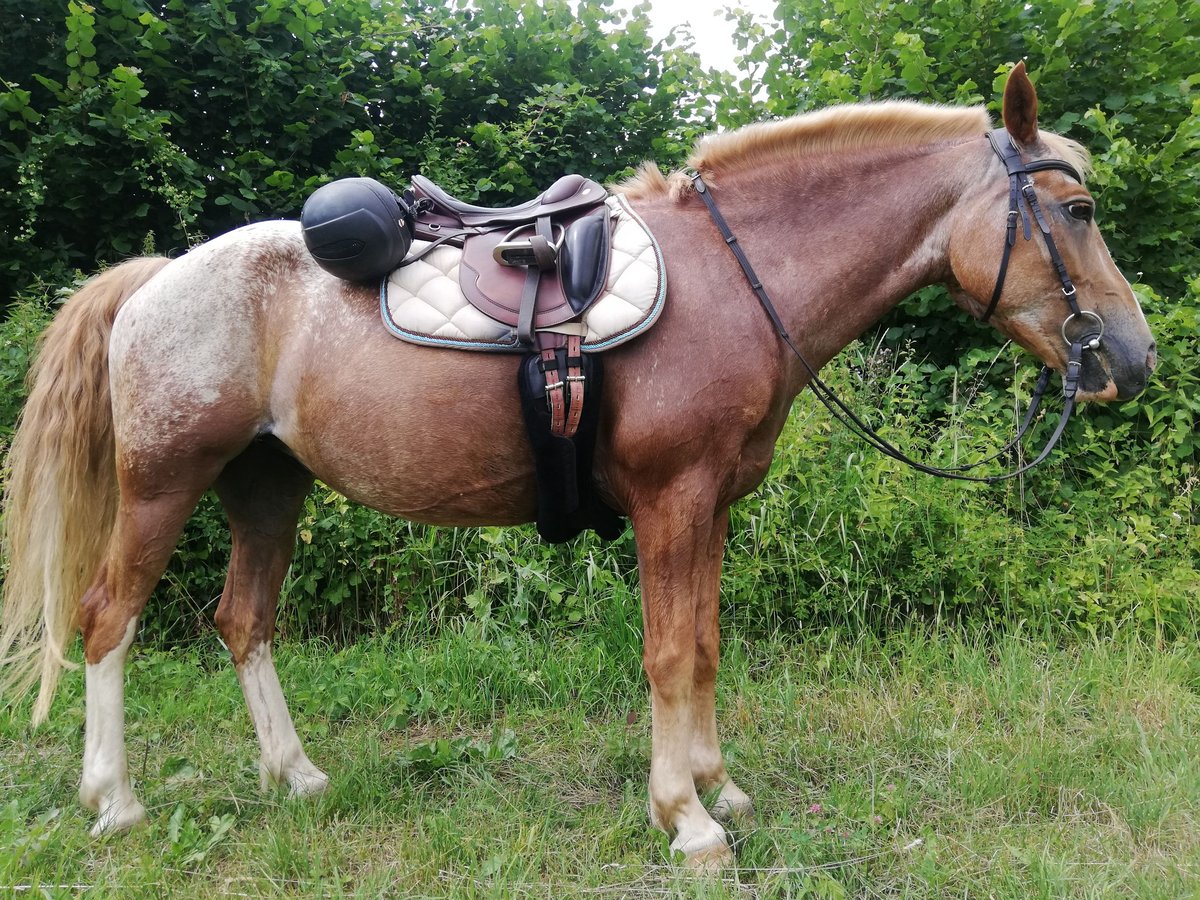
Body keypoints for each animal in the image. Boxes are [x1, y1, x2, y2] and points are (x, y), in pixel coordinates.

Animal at [0, 63, 1156, 868]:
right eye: (1079, 211)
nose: (1133, 359)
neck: (736, 280)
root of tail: (159, 278)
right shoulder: (670, 500)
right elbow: (670, 653)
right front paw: (687, 820)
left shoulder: (711, 507)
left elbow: (705, 645)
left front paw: (718, 789)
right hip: (164, 483)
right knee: (106, 620)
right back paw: (116, 802)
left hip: (266, 487)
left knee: (243, 621)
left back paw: (296, 775)